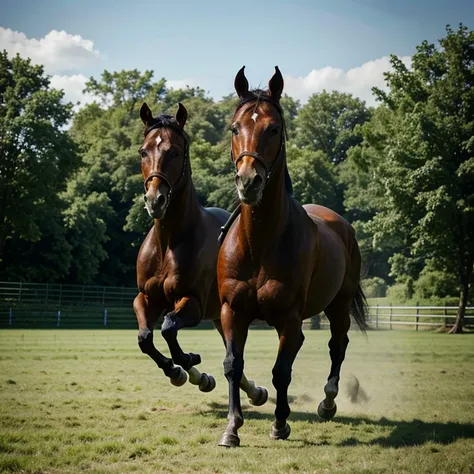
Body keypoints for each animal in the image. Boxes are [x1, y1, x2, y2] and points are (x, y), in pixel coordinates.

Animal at [133, 100, 268, 404]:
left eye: (174, 152)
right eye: (143, 151)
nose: (155, 200)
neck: (169, 243)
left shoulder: (192, 302)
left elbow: (168, 326)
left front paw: (188, 363)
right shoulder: (145, 297)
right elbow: (145, 337)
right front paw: (180, 371)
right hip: (220, 315)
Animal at [217, 67, 368, 448]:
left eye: (273, 128)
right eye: (235, 128)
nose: (248, 181)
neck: (260, 243)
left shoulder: (288, 319)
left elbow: (281, 371)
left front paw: (280, 423)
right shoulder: (232, 311)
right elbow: (233, 365)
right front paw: (232, 428)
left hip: (339, 305)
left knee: (337, 345)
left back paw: (328, 402)